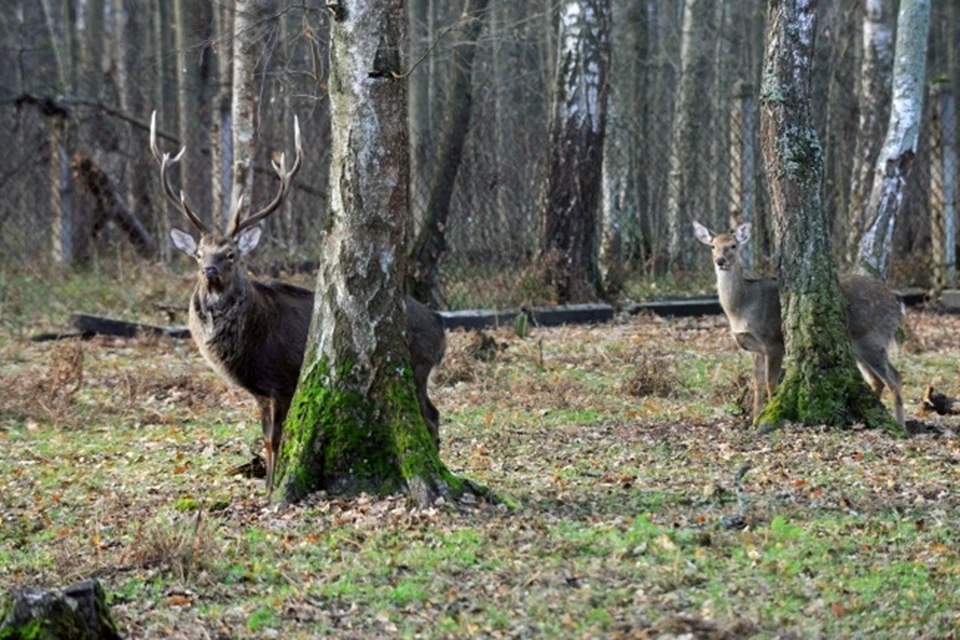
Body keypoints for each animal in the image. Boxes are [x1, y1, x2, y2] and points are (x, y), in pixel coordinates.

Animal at [148, 114, 448, 496]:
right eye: (199, 253)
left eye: (230, 254)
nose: (209, 270)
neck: (248, 344)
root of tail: (440, 327)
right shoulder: (261, 391)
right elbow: (265, 438)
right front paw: (267, 486)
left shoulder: (282, 380)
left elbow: (276, 438)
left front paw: (271, 489)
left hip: (418, 367)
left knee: (431, 415)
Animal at [692, 221, 904, 430]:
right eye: (713, 246)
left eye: (733, 246)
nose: (720, 261)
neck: (742, 309)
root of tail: (896, 306)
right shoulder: (755, 348)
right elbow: (757, 384)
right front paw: (755, 421)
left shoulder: (774, 341)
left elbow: (771, 383)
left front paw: (768, 418)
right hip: (857, 345)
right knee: (877, 380)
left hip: (872, 337)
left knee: (895, 377)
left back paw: (900, 426)